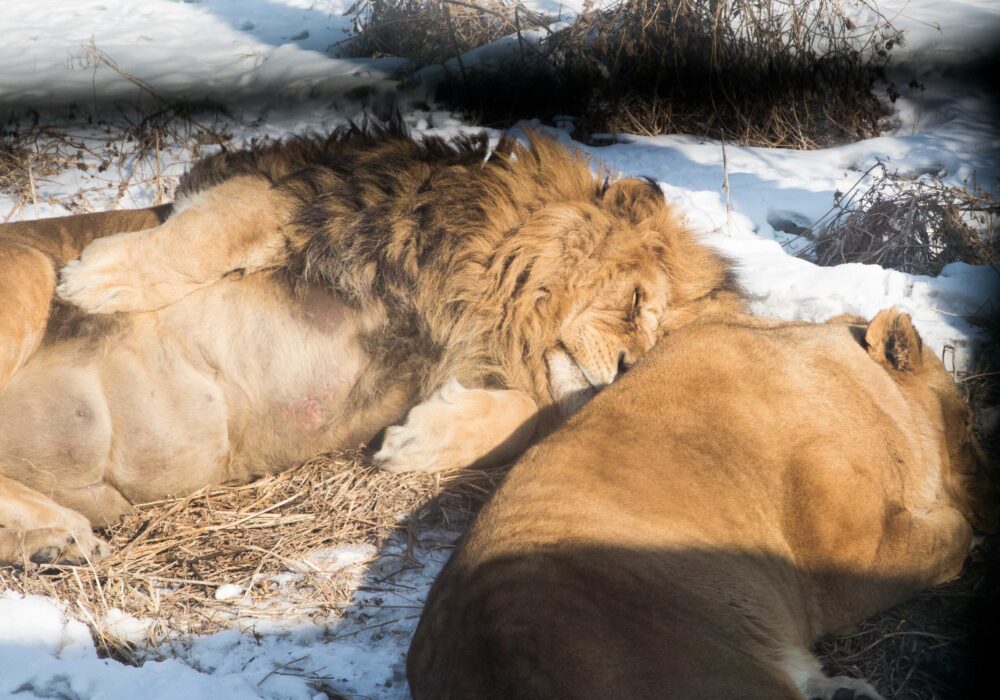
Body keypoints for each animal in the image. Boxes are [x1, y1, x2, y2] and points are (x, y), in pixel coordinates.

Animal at [0, 124, 740, 564]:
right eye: (637, 303)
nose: (628, 369)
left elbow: (527, 413)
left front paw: (416, 443)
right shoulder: (304, 188)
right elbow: (214, 228)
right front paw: (97, 278)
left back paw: (53, 536)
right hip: (25, 272)